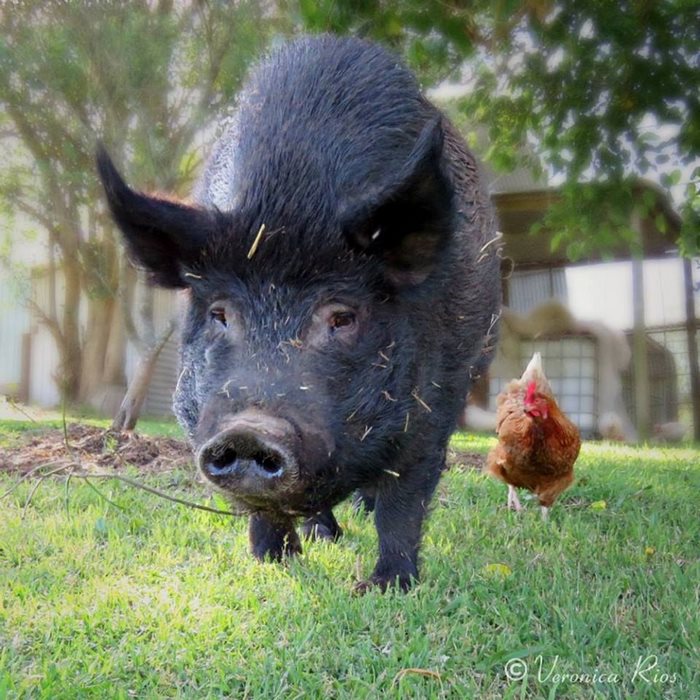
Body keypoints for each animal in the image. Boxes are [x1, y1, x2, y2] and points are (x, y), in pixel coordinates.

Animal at [97, 35, 501, 591]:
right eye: (220, 313)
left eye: (341, 317)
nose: (248, 430)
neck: (292, 198)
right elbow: (266, 513)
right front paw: (274, 561)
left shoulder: (436, 398)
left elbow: (404, 499)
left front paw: (386, 586)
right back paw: (322, 535)